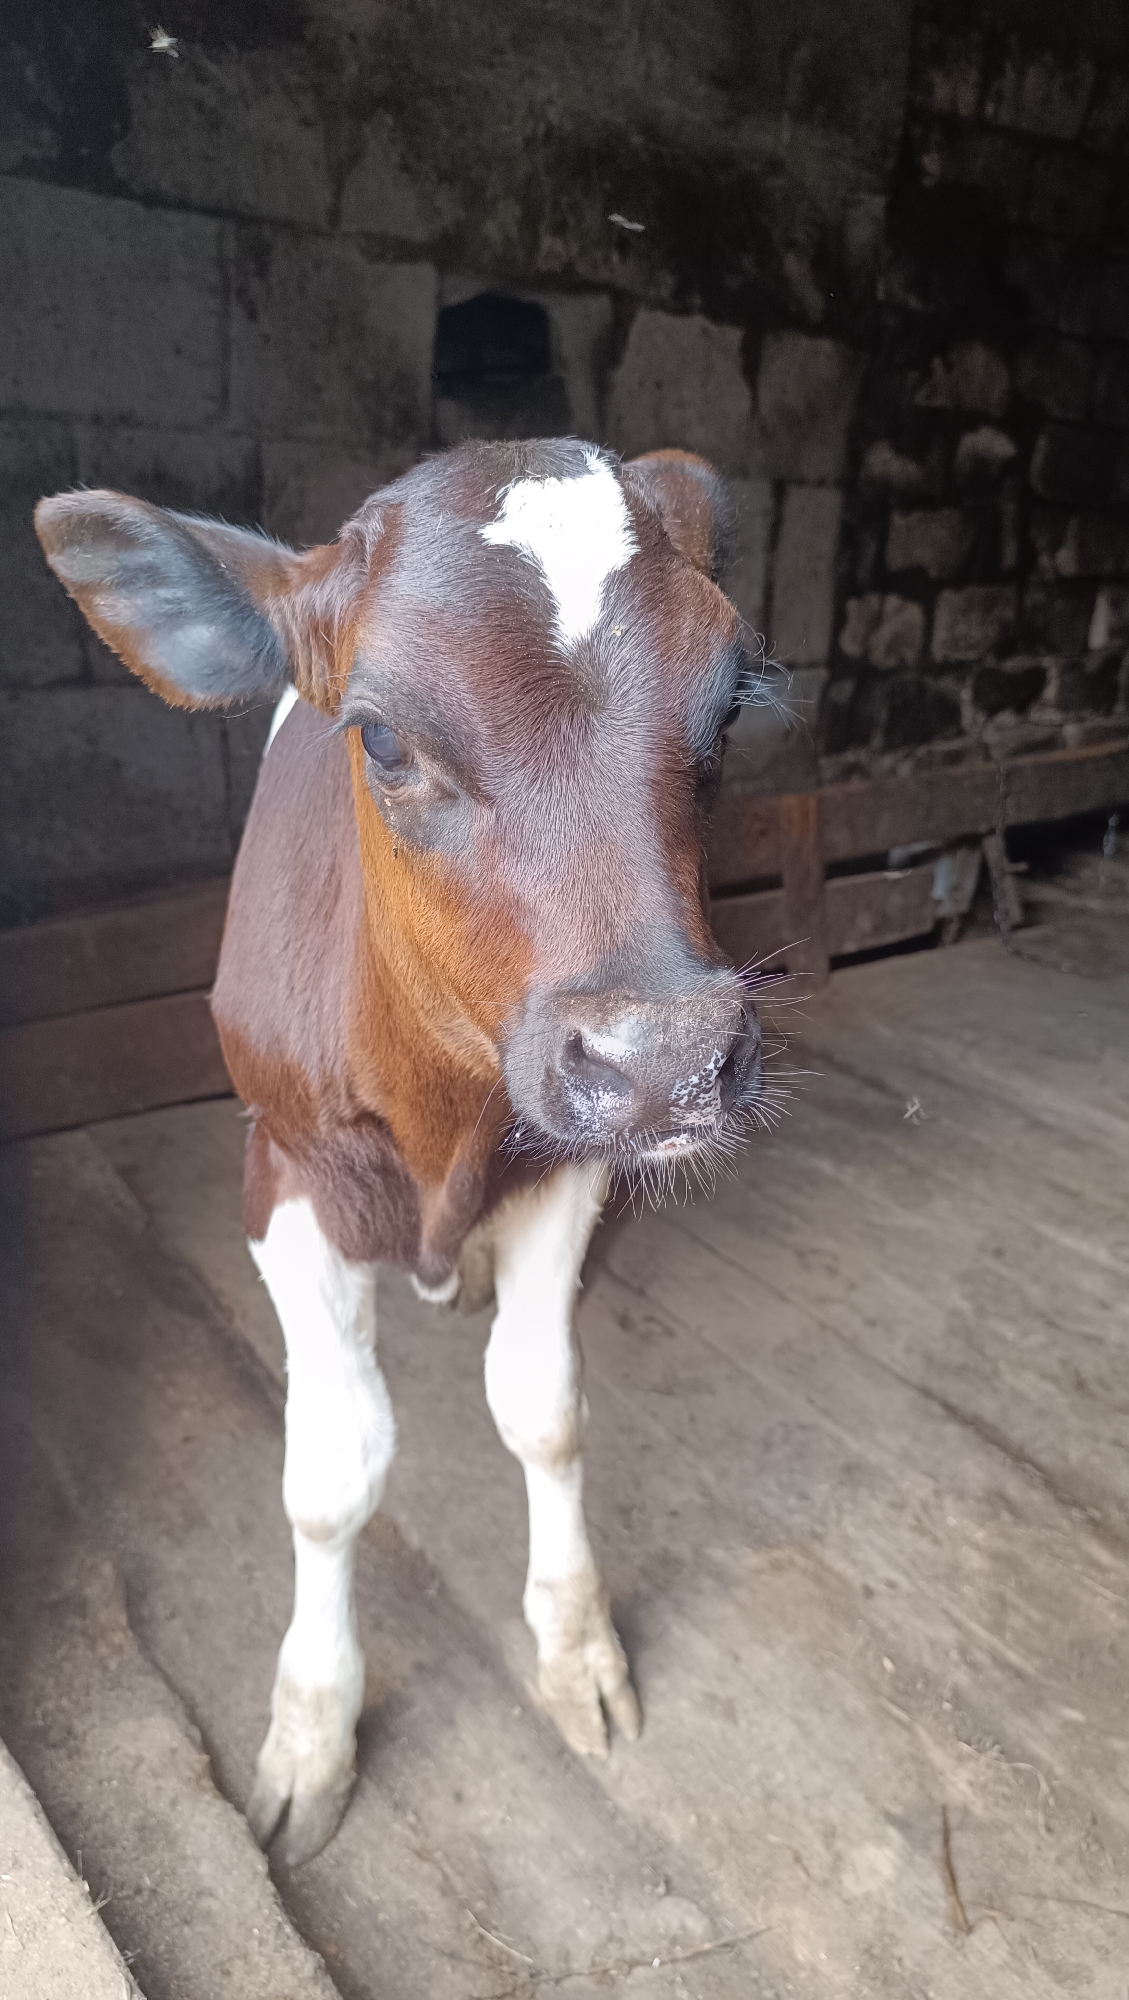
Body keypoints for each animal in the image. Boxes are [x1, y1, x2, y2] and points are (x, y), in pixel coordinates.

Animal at [35, 439, 770, 1866]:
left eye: (726, 714)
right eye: (380, 736)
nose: (665, 1057)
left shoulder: (568, 1163)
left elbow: (543, 1408)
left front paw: (576, 1648)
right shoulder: (282, 1175)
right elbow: (334, 1472)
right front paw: (313, 1728)